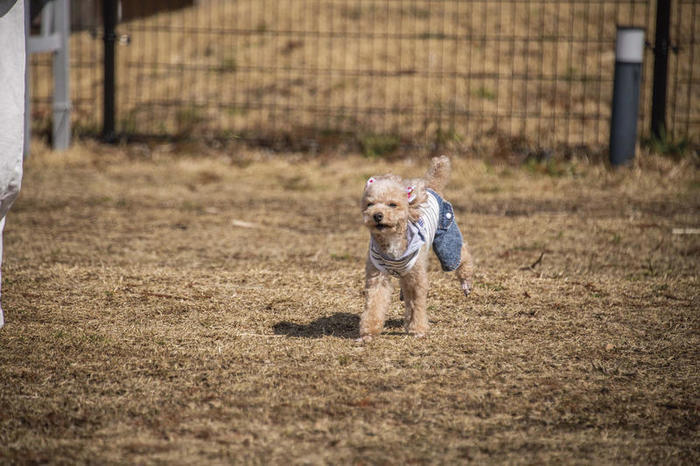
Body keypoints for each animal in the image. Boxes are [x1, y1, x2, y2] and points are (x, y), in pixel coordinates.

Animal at [358, 157, 474, 342]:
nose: (377, 216)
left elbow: (416, 303)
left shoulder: (416, 277)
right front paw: (368, 332)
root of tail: (431, 187)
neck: (393, 238)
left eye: (392, 204)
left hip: (445, 237)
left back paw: (466, 282)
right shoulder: (377, 275)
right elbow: (374, 303)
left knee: (460, 254)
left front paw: (418, 330)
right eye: (370, 204)